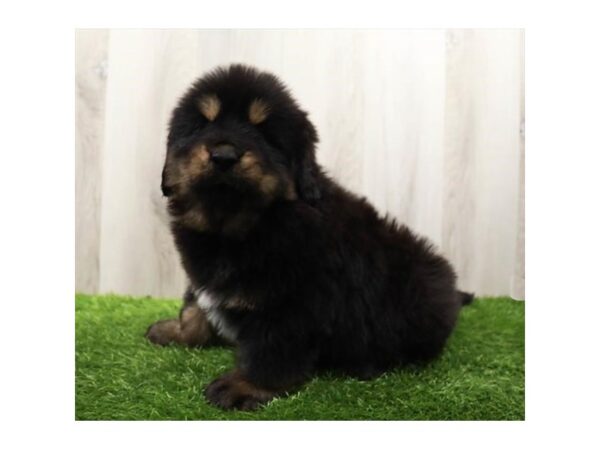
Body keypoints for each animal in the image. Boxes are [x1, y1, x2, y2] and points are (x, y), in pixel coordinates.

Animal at [146, 63, 474, 412]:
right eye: (201, 124)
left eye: (265, 133)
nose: (224, 155)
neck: (240, 226)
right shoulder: (205, 274)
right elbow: (194, 303)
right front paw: (178, 331)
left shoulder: (292, 301)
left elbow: (270, 347)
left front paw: (245, 386)